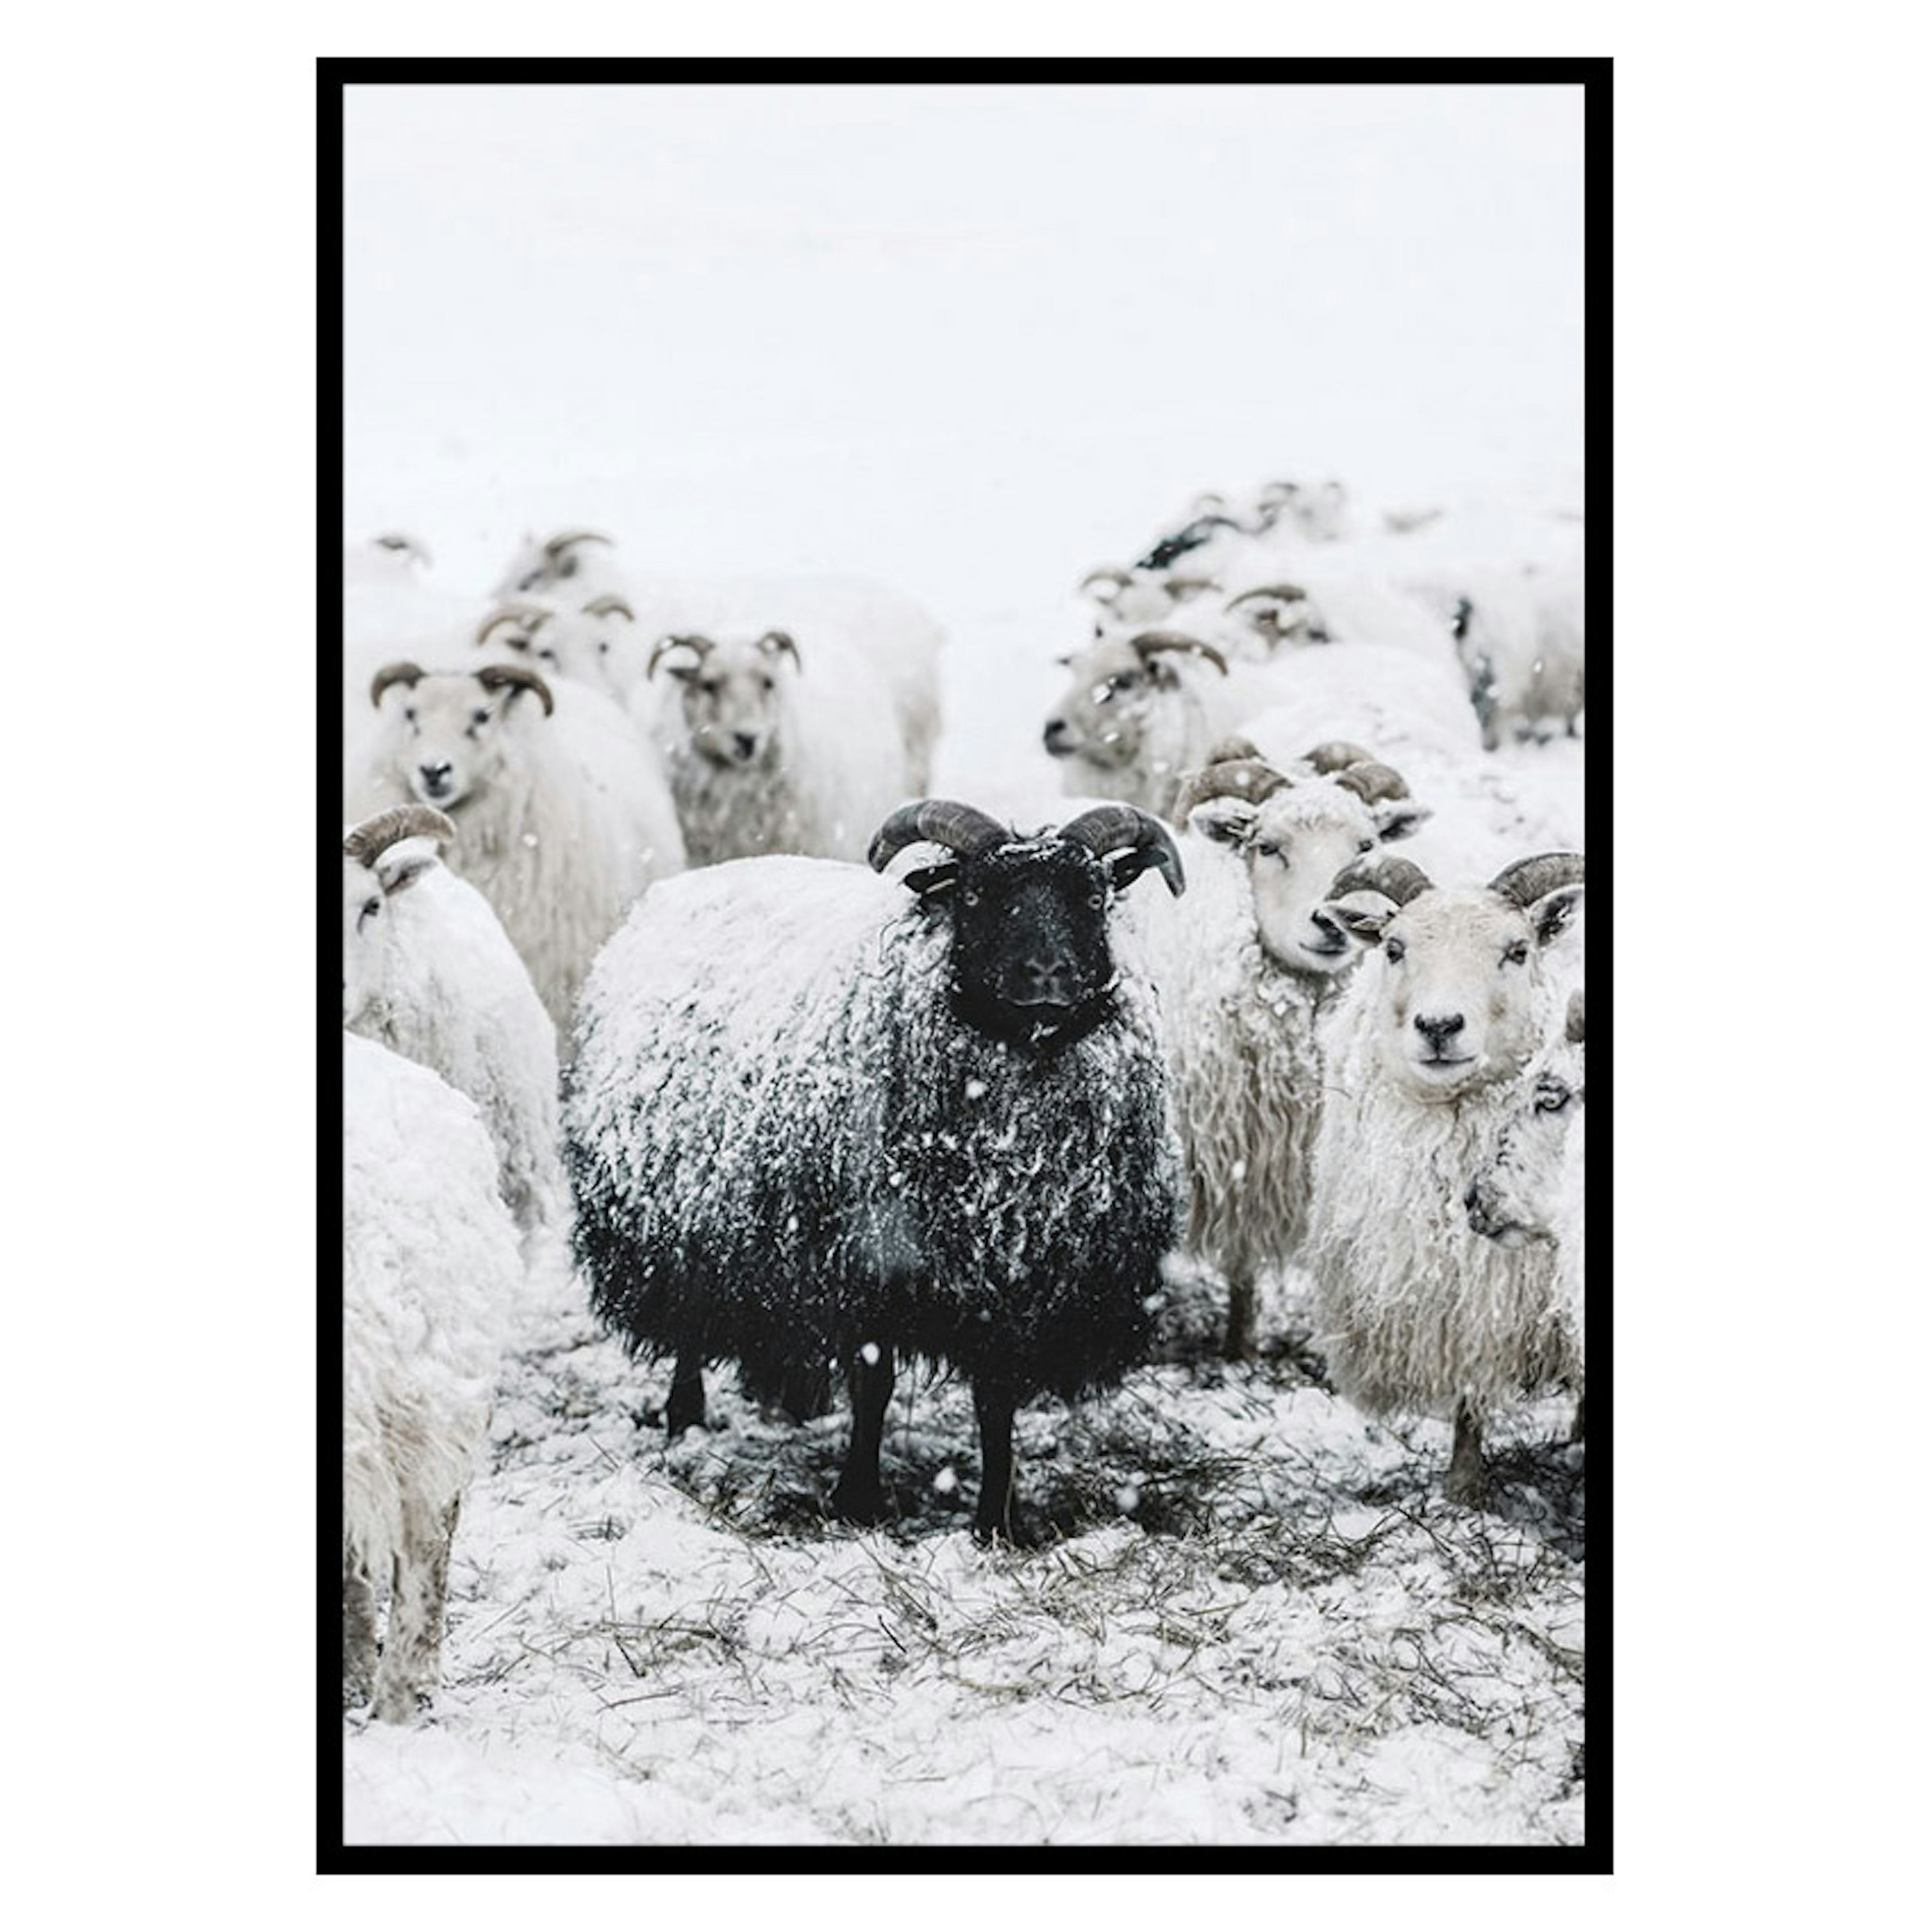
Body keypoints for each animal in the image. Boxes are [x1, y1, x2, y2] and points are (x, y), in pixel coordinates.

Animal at [564, 799, 1187, 1543]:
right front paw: (857, 1499)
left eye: (1092, 896)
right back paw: (685, 1418)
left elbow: (996, 1399)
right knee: (690, 1323)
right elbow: (874, 1384)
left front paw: (997, 1521)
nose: (1048, 976)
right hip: (682, 1222)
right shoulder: (865, 1263)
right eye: (974, 896)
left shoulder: (1016, 1286)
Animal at [1304, 851, 1585, 1507]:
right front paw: (1463, 1486)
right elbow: (1467, 1395)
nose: (1439, 1026)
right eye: (1394, 948)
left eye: (1517, 951)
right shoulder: (1457, 1297)